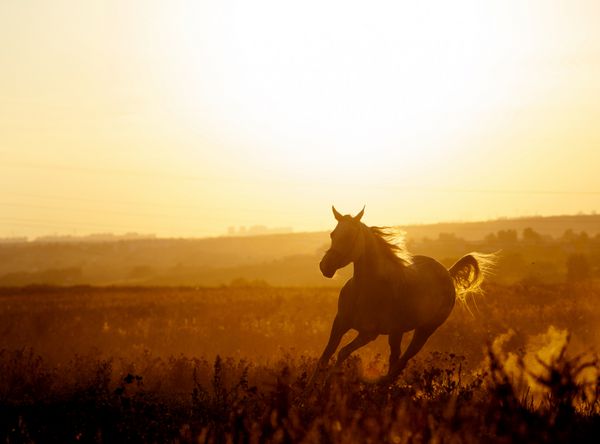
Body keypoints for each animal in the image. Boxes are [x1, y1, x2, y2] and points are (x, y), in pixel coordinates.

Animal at [312, 206, 494, 384]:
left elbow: (342, 352)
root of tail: (448, 273)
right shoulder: (340, 323)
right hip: (396, 332)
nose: (325, 267)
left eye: (349, 236)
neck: (364, 290)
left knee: (401, 362)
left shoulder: (368, 334)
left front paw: (328, 383)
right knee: (395, 358)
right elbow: (326, 354)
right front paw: (314, 386)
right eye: (332, 234)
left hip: (424, 331)